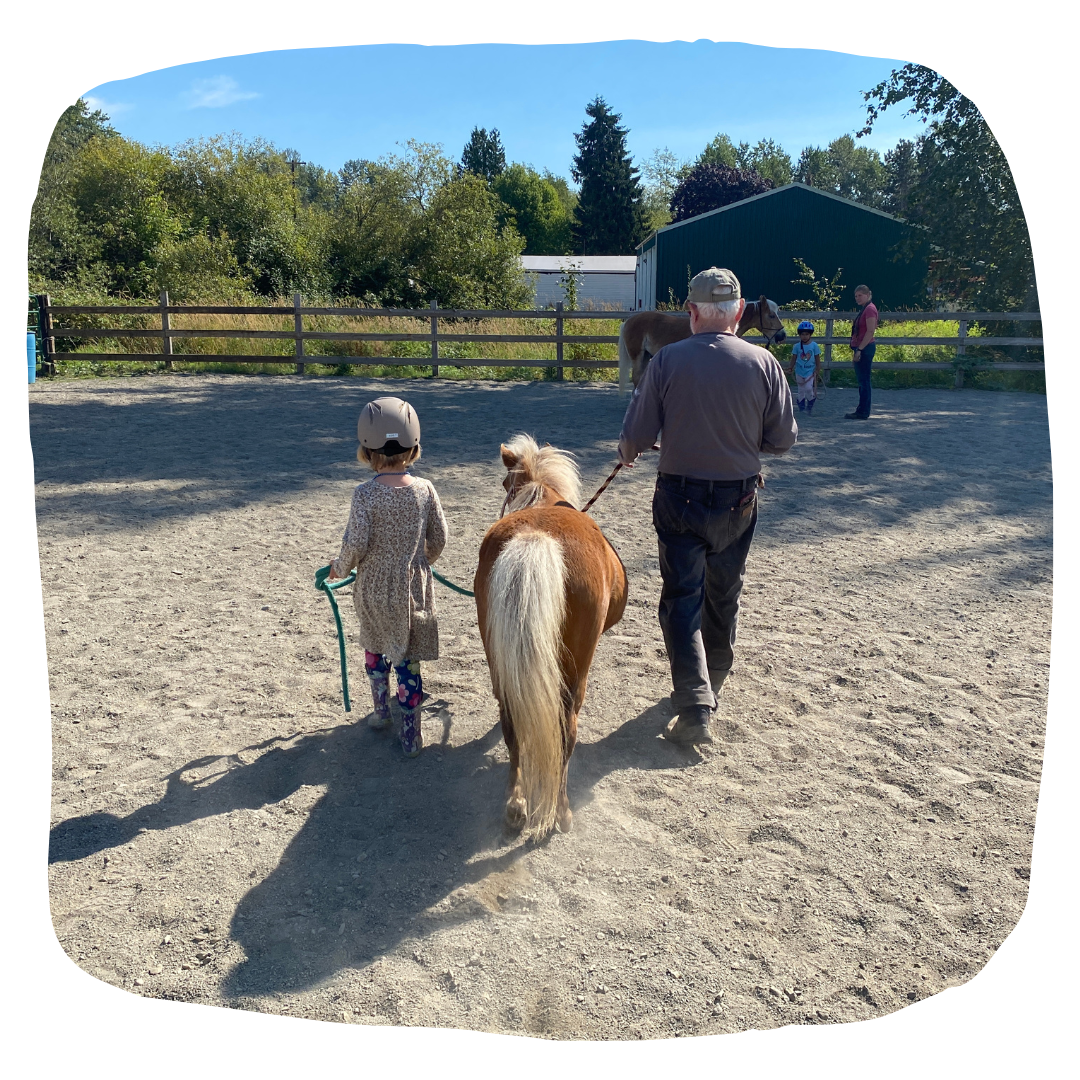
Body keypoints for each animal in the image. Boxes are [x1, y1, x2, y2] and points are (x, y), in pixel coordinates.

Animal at [470, 434, 626, 838]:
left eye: (504, 484)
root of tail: (537, 536)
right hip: (576, 672)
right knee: (566, 730)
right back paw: (561, 811)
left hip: (498, 657)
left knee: (511, 724)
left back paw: (516, 805)